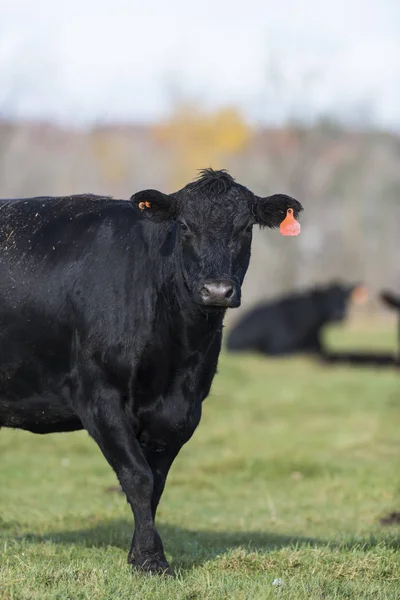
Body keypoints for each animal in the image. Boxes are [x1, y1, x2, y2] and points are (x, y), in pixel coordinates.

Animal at [0, 170, 302, 576]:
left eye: (245, 228)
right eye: (185, 226)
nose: (216, 290)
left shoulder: (181, 411)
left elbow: (156, 483)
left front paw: (139, 554)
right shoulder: (99, 396)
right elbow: (138, 478)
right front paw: (151, 560)